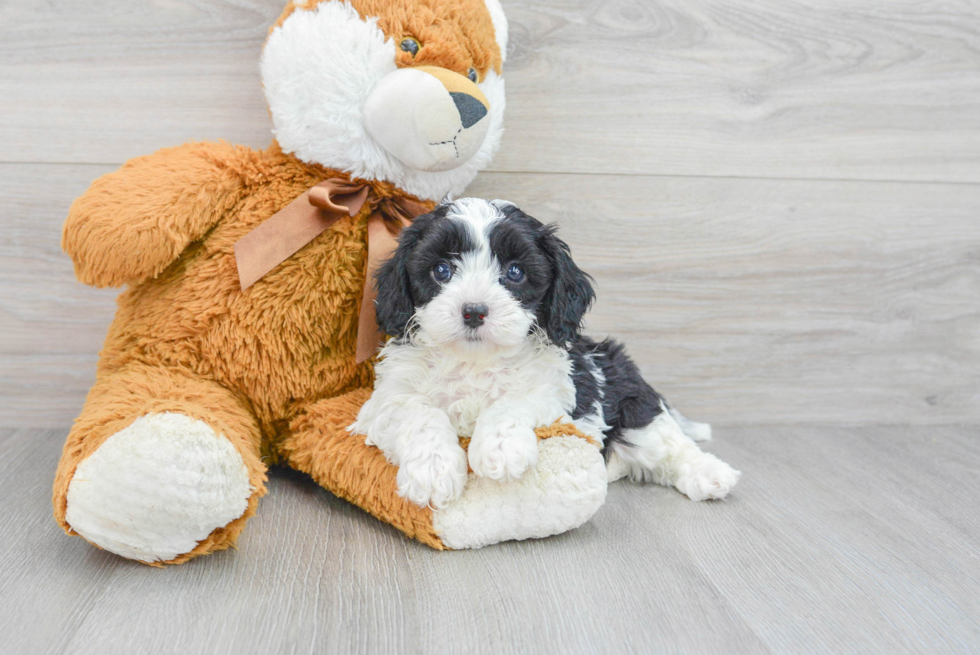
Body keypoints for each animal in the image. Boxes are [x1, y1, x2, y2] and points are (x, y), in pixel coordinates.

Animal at [348, 197, 740, 510]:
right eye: (441, 270)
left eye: (515, 272)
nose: (473, 311)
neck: (476, 360)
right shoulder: (386, 400)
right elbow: (419, 413)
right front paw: (433, 471)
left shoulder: (558, 390)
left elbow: (513, 402)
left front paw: (500, 449)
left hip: (633, 407)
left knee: (668, 444)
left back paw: (710, 473)